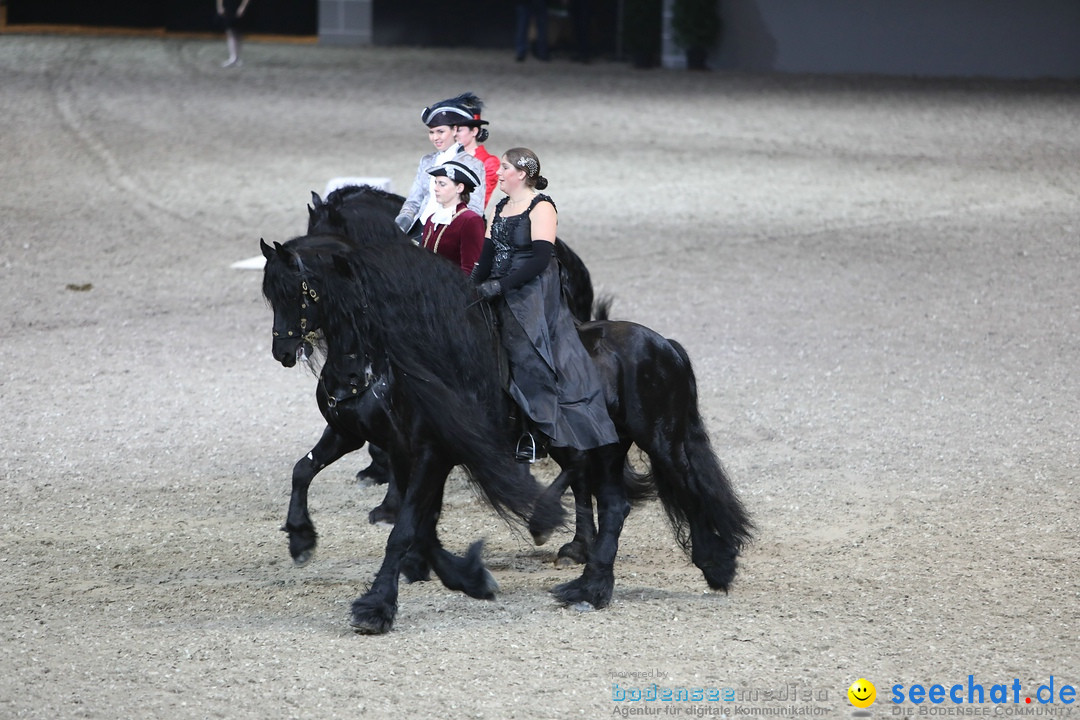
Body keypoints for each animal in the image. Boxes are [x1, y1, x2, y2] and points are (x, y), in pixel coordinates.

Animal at [261, 232, 751, 630]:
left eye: (301, 291)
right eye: (270, 294)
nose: (282, 351)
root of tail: (663, 343)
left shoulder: (432, 452)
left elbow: (405, 529)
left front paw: (376, 607)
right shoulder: (367, 439)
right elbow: (310, 474)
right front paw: (302, 538)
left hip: (661, 438)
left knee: (689, 487)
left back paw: (714, 564)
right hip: (608, 449)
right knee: (615, 504)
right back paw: (589, 588)